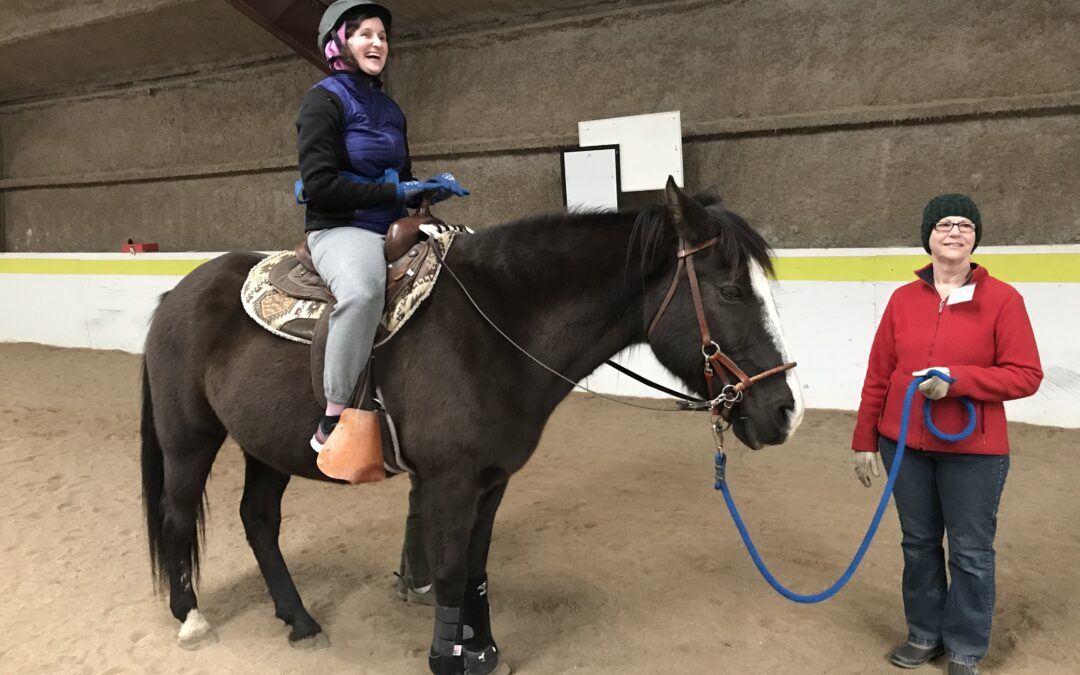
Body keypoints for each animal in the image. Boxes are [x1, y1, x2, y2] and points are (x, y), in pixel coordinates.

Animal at [139, 180, 803, 673]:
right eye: (729, 289)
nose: (783, 412)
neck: (496, 327)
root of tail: (176, 294)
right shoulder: (451, 481)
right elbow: (452, 571)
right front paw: (447, 659)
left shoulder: (492, 479)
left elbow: (477, 570)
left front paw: (483, 652)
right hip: (189, 439)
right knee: (177, 513)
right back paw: (190, 617)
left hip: (266, 447)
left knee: (258, 520)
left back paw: (298, 620)